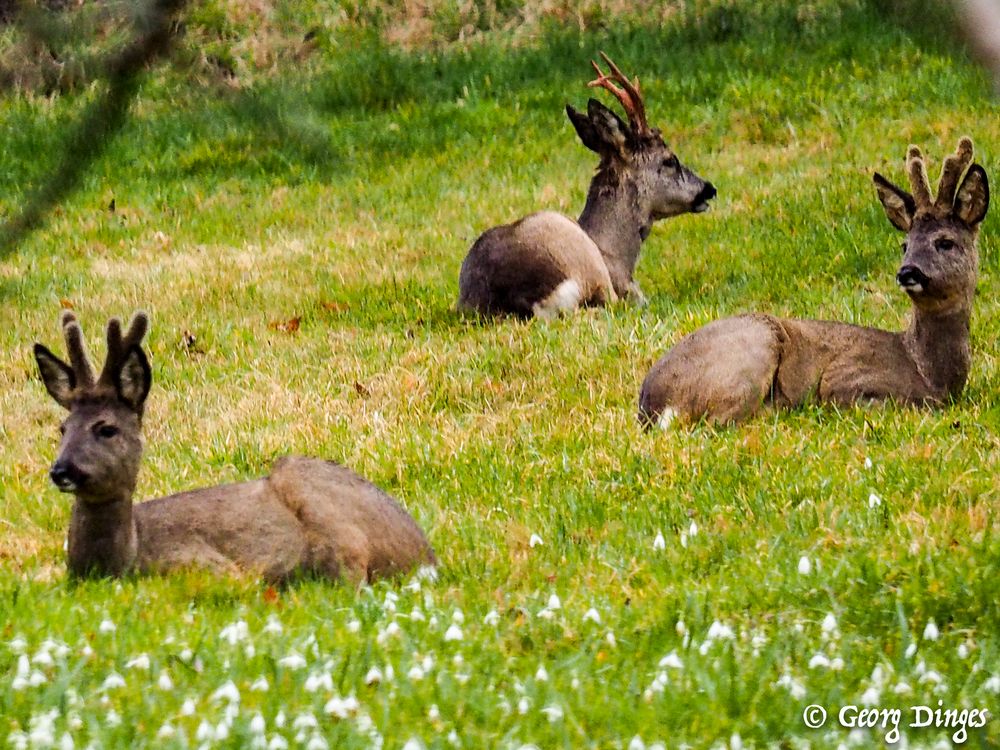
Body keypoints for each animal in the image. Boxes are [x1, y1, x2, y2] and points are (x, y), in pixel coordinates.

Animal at [36, 312, 434, 580]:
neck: (128, 555)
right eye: (63, 427)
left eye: (106, 428)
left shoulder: (200, 561)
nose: (61, 470)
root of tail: (425, 554)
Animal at [636, 137, 988, 426]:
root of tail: (651, 404)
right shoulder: (842, 377)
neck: (929, 373)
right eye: (905, 245)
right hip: (754, 350)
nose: (907, 272)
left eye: (945, 242)